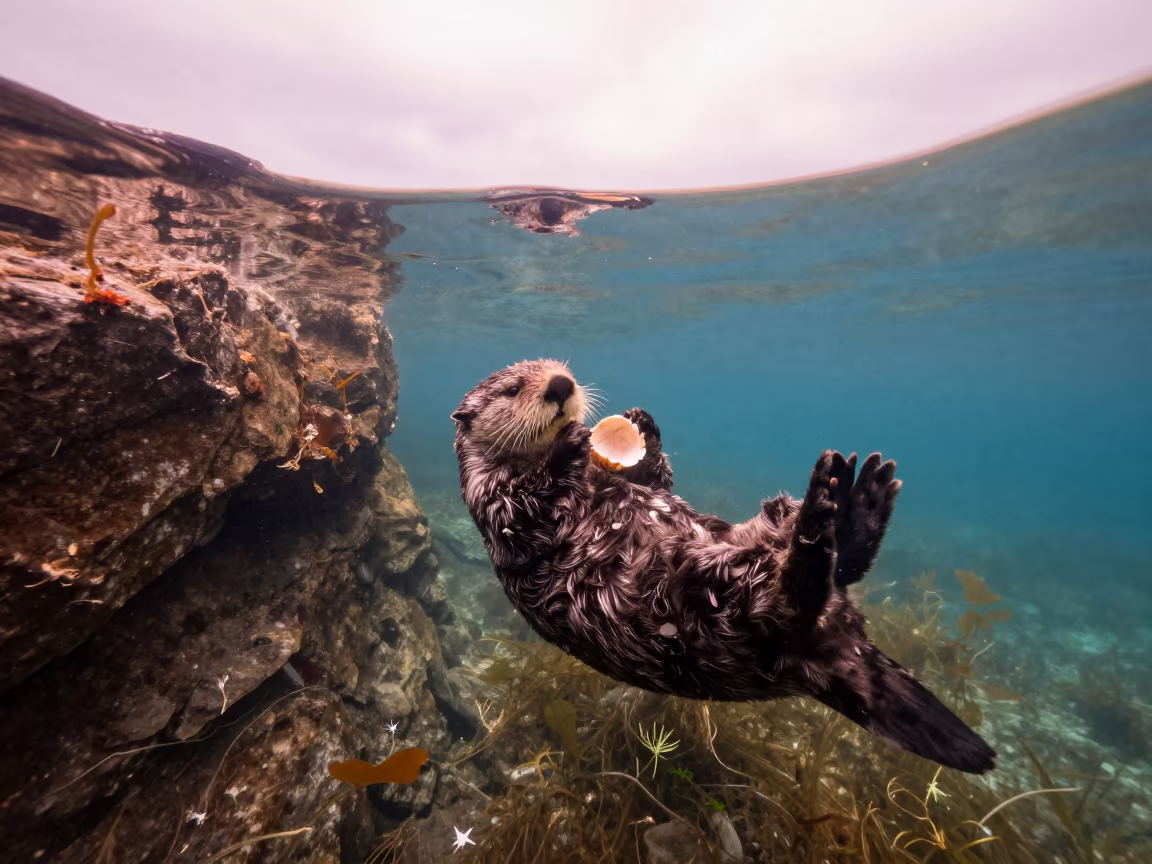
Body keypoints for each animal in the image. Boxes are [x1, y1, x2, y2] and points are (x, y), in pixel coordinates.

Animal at [451, 359, 995, 773]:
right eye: (512, 389)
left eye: (562, 366)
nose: (561, 385)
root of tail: (836, 654)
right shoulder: (494, 503)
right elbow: (526, 510)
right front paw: (568, 444)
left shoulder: (643, 483)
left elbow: (658, 481)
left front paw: (644, 424)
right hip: (721, 606)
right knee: (799, 594)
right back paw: (838, 507)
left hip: (755, 537)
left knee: (834, 564)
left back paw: (856, 500)